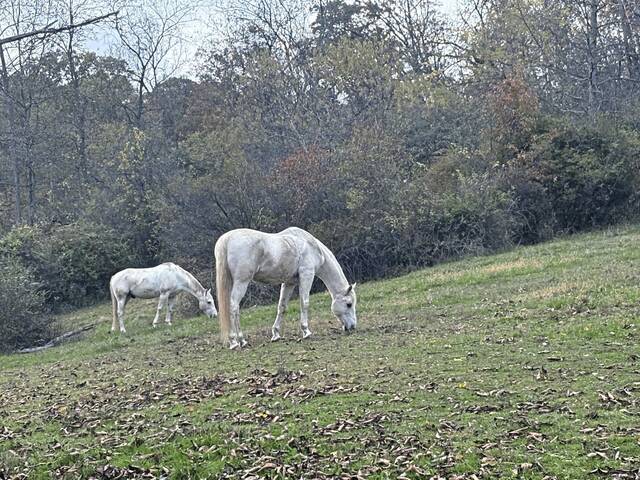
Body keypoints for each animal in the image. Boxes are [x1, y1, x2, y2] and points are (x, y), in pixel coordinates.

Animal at [214, 227, 357, 349]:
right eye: (349, 304)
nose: (353, 327)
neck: (310, 246)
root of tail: (227, 239)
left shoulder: (289, 283)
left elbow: (282, 307)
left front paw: (276, 334)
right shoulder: (307, 275)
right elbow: (304, 303)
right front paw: (306, 331)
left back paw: (237, 341)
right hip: (241, 282)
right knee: (233, 307)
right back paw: (238, 340)